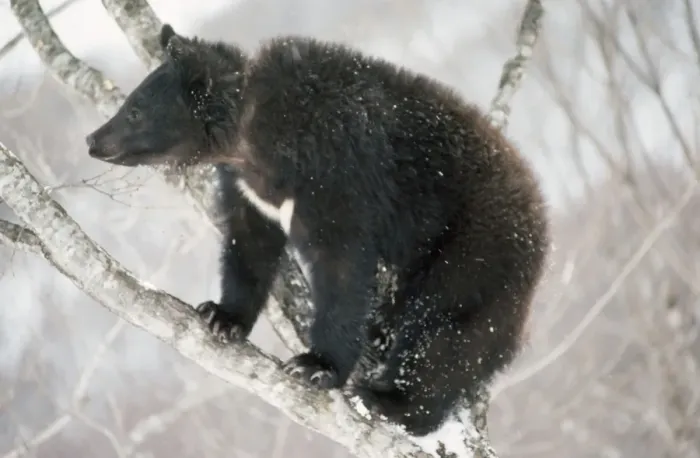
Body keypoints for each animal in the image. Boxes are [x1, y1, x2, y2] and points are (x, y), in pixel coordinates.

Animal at [84, 24, 550, 436]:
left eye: (135, 110)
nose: (93, 139)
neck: (253, 144)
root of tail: (540, 227)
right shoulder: (250, 193)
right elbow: (248, 245)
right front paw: (221, 316)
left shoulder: (337, 179)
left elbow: (341, 268)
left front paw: (316, 365)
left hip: (471, 252)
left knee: (443, 332)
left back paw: (394, 403)